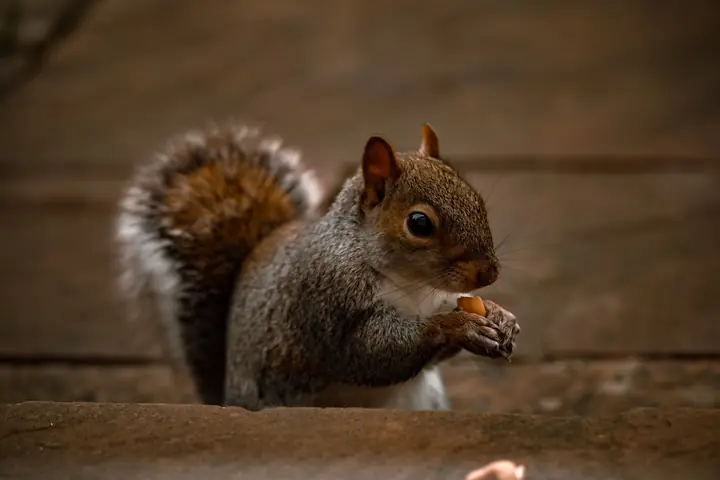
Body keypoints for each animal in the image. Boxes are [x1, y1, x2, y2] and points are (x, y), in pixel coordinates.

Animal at [116, 123, 520, 410]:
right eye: (419, 224)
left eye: (477, 200)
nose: (489, 273)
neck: (411, 284)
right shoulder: (323, 298)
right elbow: (370, 353)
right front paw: (459, 326)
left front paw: (499, 315)